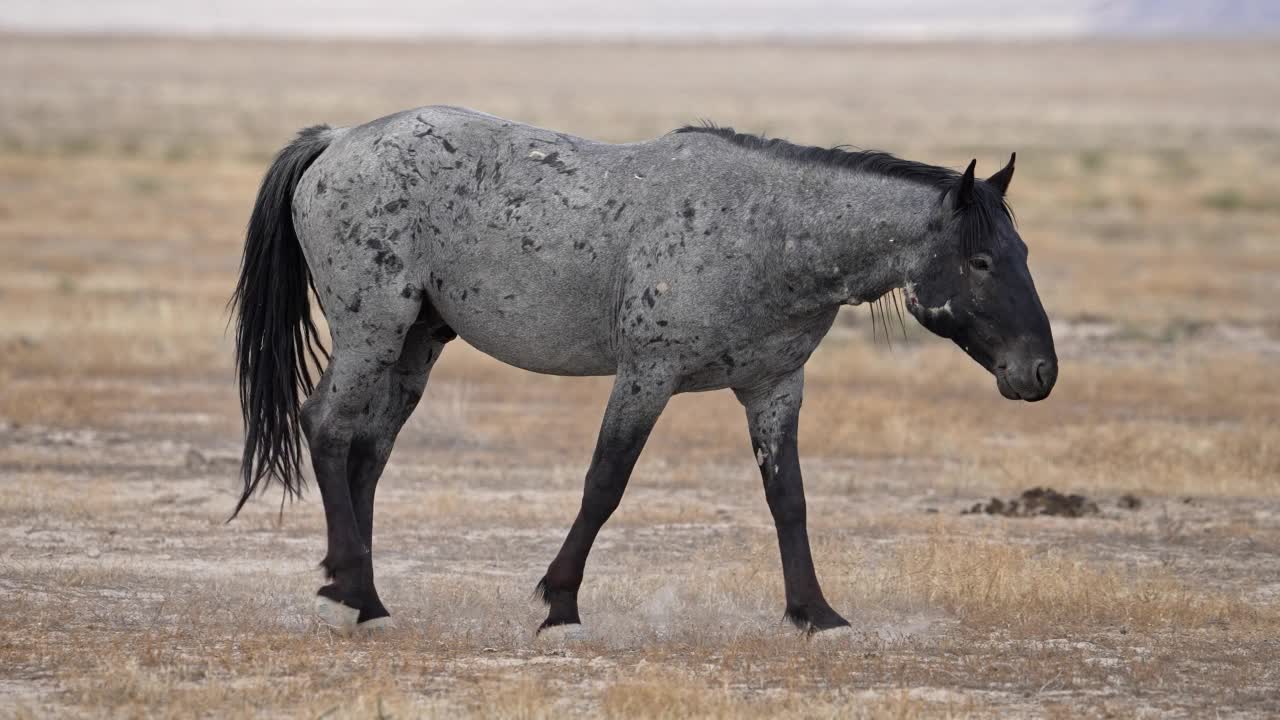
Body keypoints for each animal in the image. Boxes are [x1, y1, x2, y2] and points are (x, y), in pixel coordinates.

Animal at [232, 106, 1059, 632]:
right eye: (981, 262)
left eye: (1024, 252)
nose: (1041, 373)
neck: (769, 232)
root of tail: (338, 141)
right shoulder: (646, 377)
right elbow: (605, 484)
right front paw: (560, 603)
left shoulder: (773, 389)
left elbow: (788, 499)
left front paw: (814, 613)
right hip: (372, 335)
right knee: (326, 428)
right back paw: (345, 585)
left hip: (414, 346)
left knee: (367, 454)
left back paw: (366, 597)